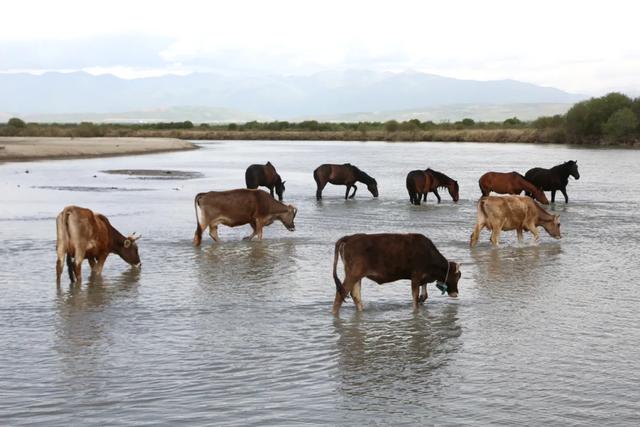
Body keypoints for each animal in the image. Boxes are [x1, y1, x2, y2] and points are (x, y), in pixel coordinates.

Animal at [332, 234, 462, 314]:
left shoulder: (423, 278)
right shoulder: (416, 275)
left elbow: (424, 295)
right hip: (353, 274)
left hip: (356, 275)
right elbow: (415, 298)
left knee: (355, 294)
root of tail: (350, 237)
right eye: (457, 276)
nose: (455, 293)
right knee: (341, 294)